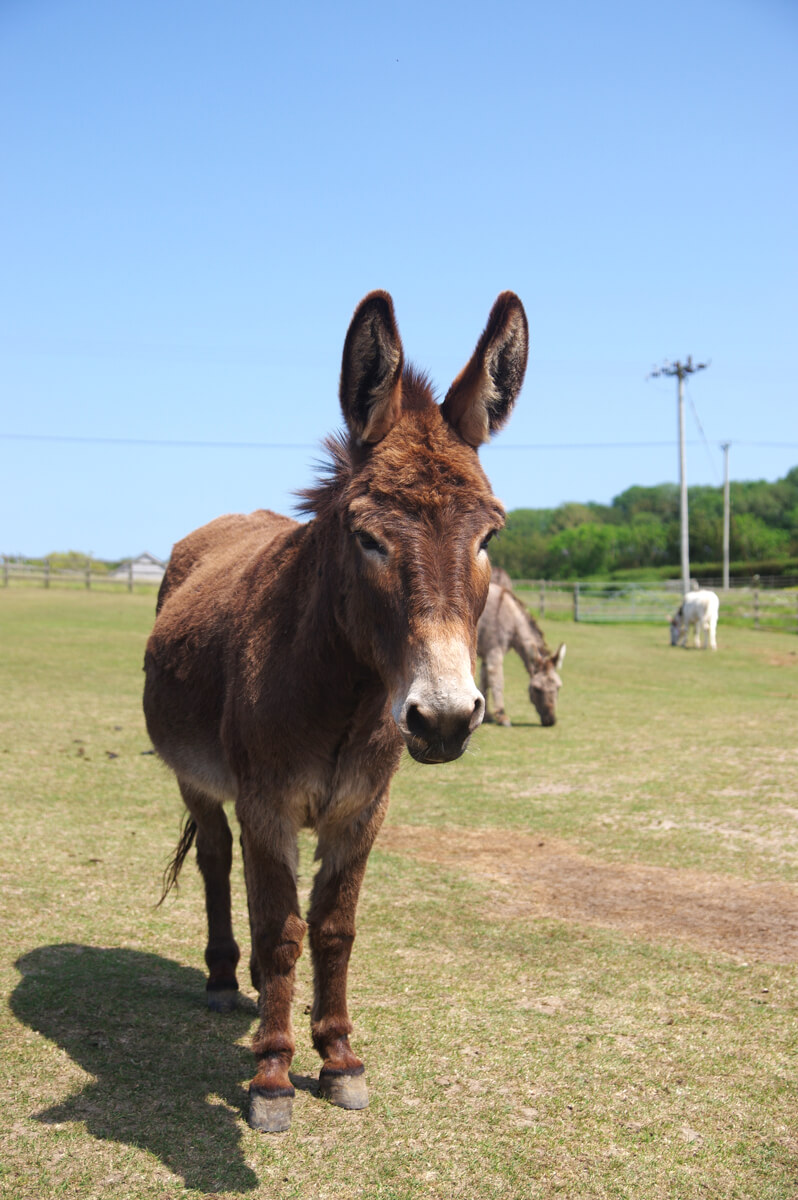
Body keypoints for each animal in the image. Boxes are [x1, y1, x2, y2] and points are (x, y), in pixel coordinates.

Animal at [143, 289, 528, 1132]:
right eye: (367, 538)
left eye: (489, 534)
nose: (445, 717)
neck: (347, 699)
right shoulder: (267, 804)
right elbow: (282, 930)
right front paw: (272, 1076)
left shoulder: (363, 809)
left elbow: (334, 928)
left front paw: (340, 1058)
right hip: (199, 782)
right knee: (218, 863)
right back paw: (226, 982)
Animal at [477, 580, 565, 726]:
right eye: (537, 689)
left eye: (558, 687)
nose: (550, 721)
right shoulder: (494, 653)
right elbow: (497, 682)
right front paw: (502, 716)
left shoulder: (486, 655)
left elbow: (485, 681)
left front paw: (486, 716)